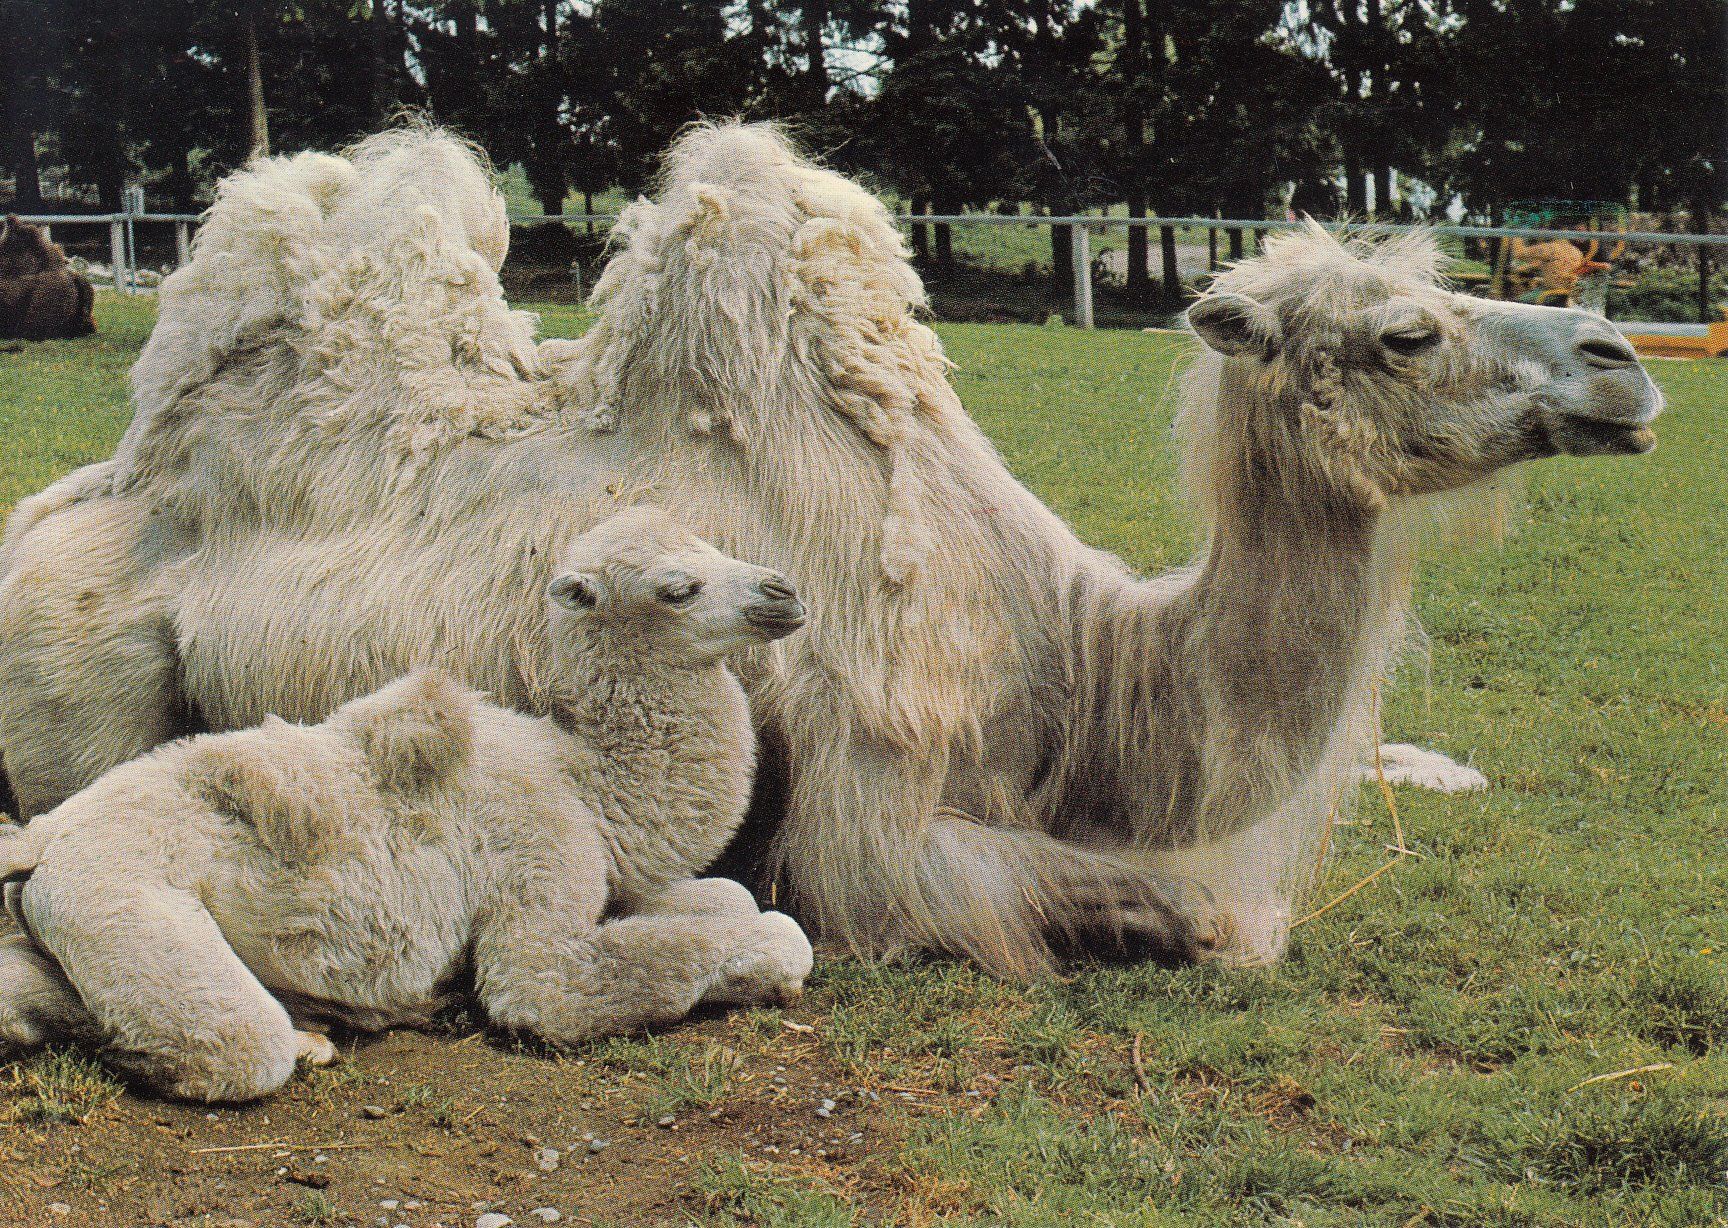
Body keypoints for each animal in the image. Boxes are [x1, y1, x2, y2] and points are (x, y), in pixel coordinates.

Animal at [0, 126, 1661, 977]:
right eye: (1405, 333)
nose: (1623, 363)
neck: (1074, 659)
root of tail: (65, 503)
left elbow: (1224, 915)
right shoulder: (874, 821)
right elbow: (1196, 915)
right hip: (89, 681)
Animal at [0, 508, 813, 1101]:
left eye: (715, 545)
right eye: (678, 588)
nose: (786, 592)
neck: (586, 787)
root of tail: (43, 837)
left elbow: (728, 898)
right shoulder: (539, 888)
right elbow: (575, 982)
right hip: (117, 898)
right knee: (236, 1045)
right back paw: (310, 1033)